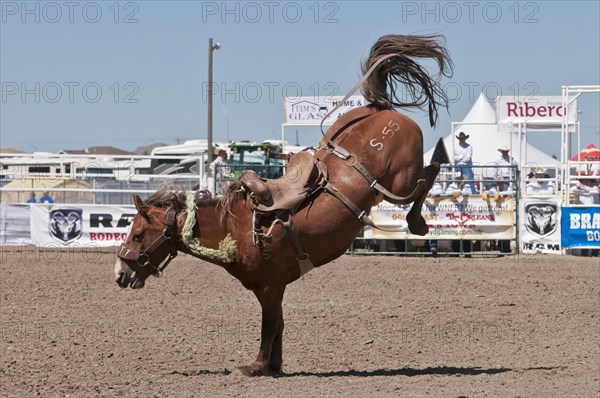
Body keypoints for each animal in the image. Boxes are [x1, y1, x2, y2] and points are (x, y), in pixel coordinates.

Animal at [112, 34, 452, 376]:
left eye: (138, 235)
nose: (119, 275)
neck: (233, 227)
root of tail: (379, 109)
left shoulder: (270, 287)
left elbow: (269, 326)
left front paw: (256, 366)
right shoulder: (274, 288)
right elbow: (279, 326)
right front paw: (274, 365)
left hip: (398, 183)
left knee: (430, 172)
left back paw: (419, 221)